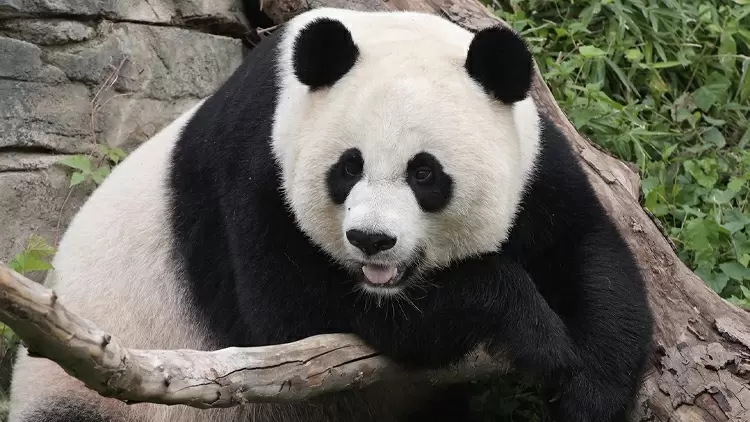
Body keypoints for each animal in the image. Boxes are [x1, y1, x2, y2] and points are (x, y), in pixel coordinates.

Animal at [8, 6, 653, 422]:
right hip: (86, 390)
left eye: (425, 174)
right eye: (347, 168)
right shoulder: (254, 160)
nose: (371, 240)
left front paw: (588, 389)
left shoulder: (534, 160)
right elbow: (291, 311)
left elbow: (589, 251)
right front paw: (535, 332)